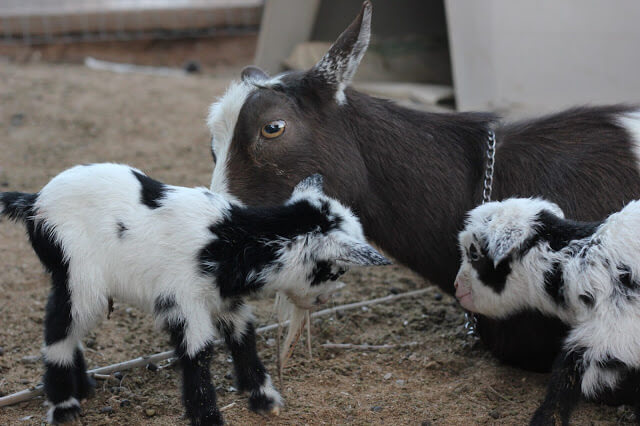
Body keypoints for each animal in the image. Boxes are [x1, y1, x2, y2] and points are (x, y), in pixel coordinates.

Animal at [0, 162, 390, 422]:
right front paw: (208, 417)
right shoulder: (183, 301)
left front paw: (264, 399)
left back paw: (81, 388)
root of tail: (33, 202)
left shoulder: (225, 300)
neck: (232, 240)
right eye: (336, 269)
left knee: (70, 323)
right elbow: (198, 352)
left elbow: (244, 338)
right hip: (79, 273)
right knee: (59, 326)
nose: (324, 300)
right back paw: (64, 407)